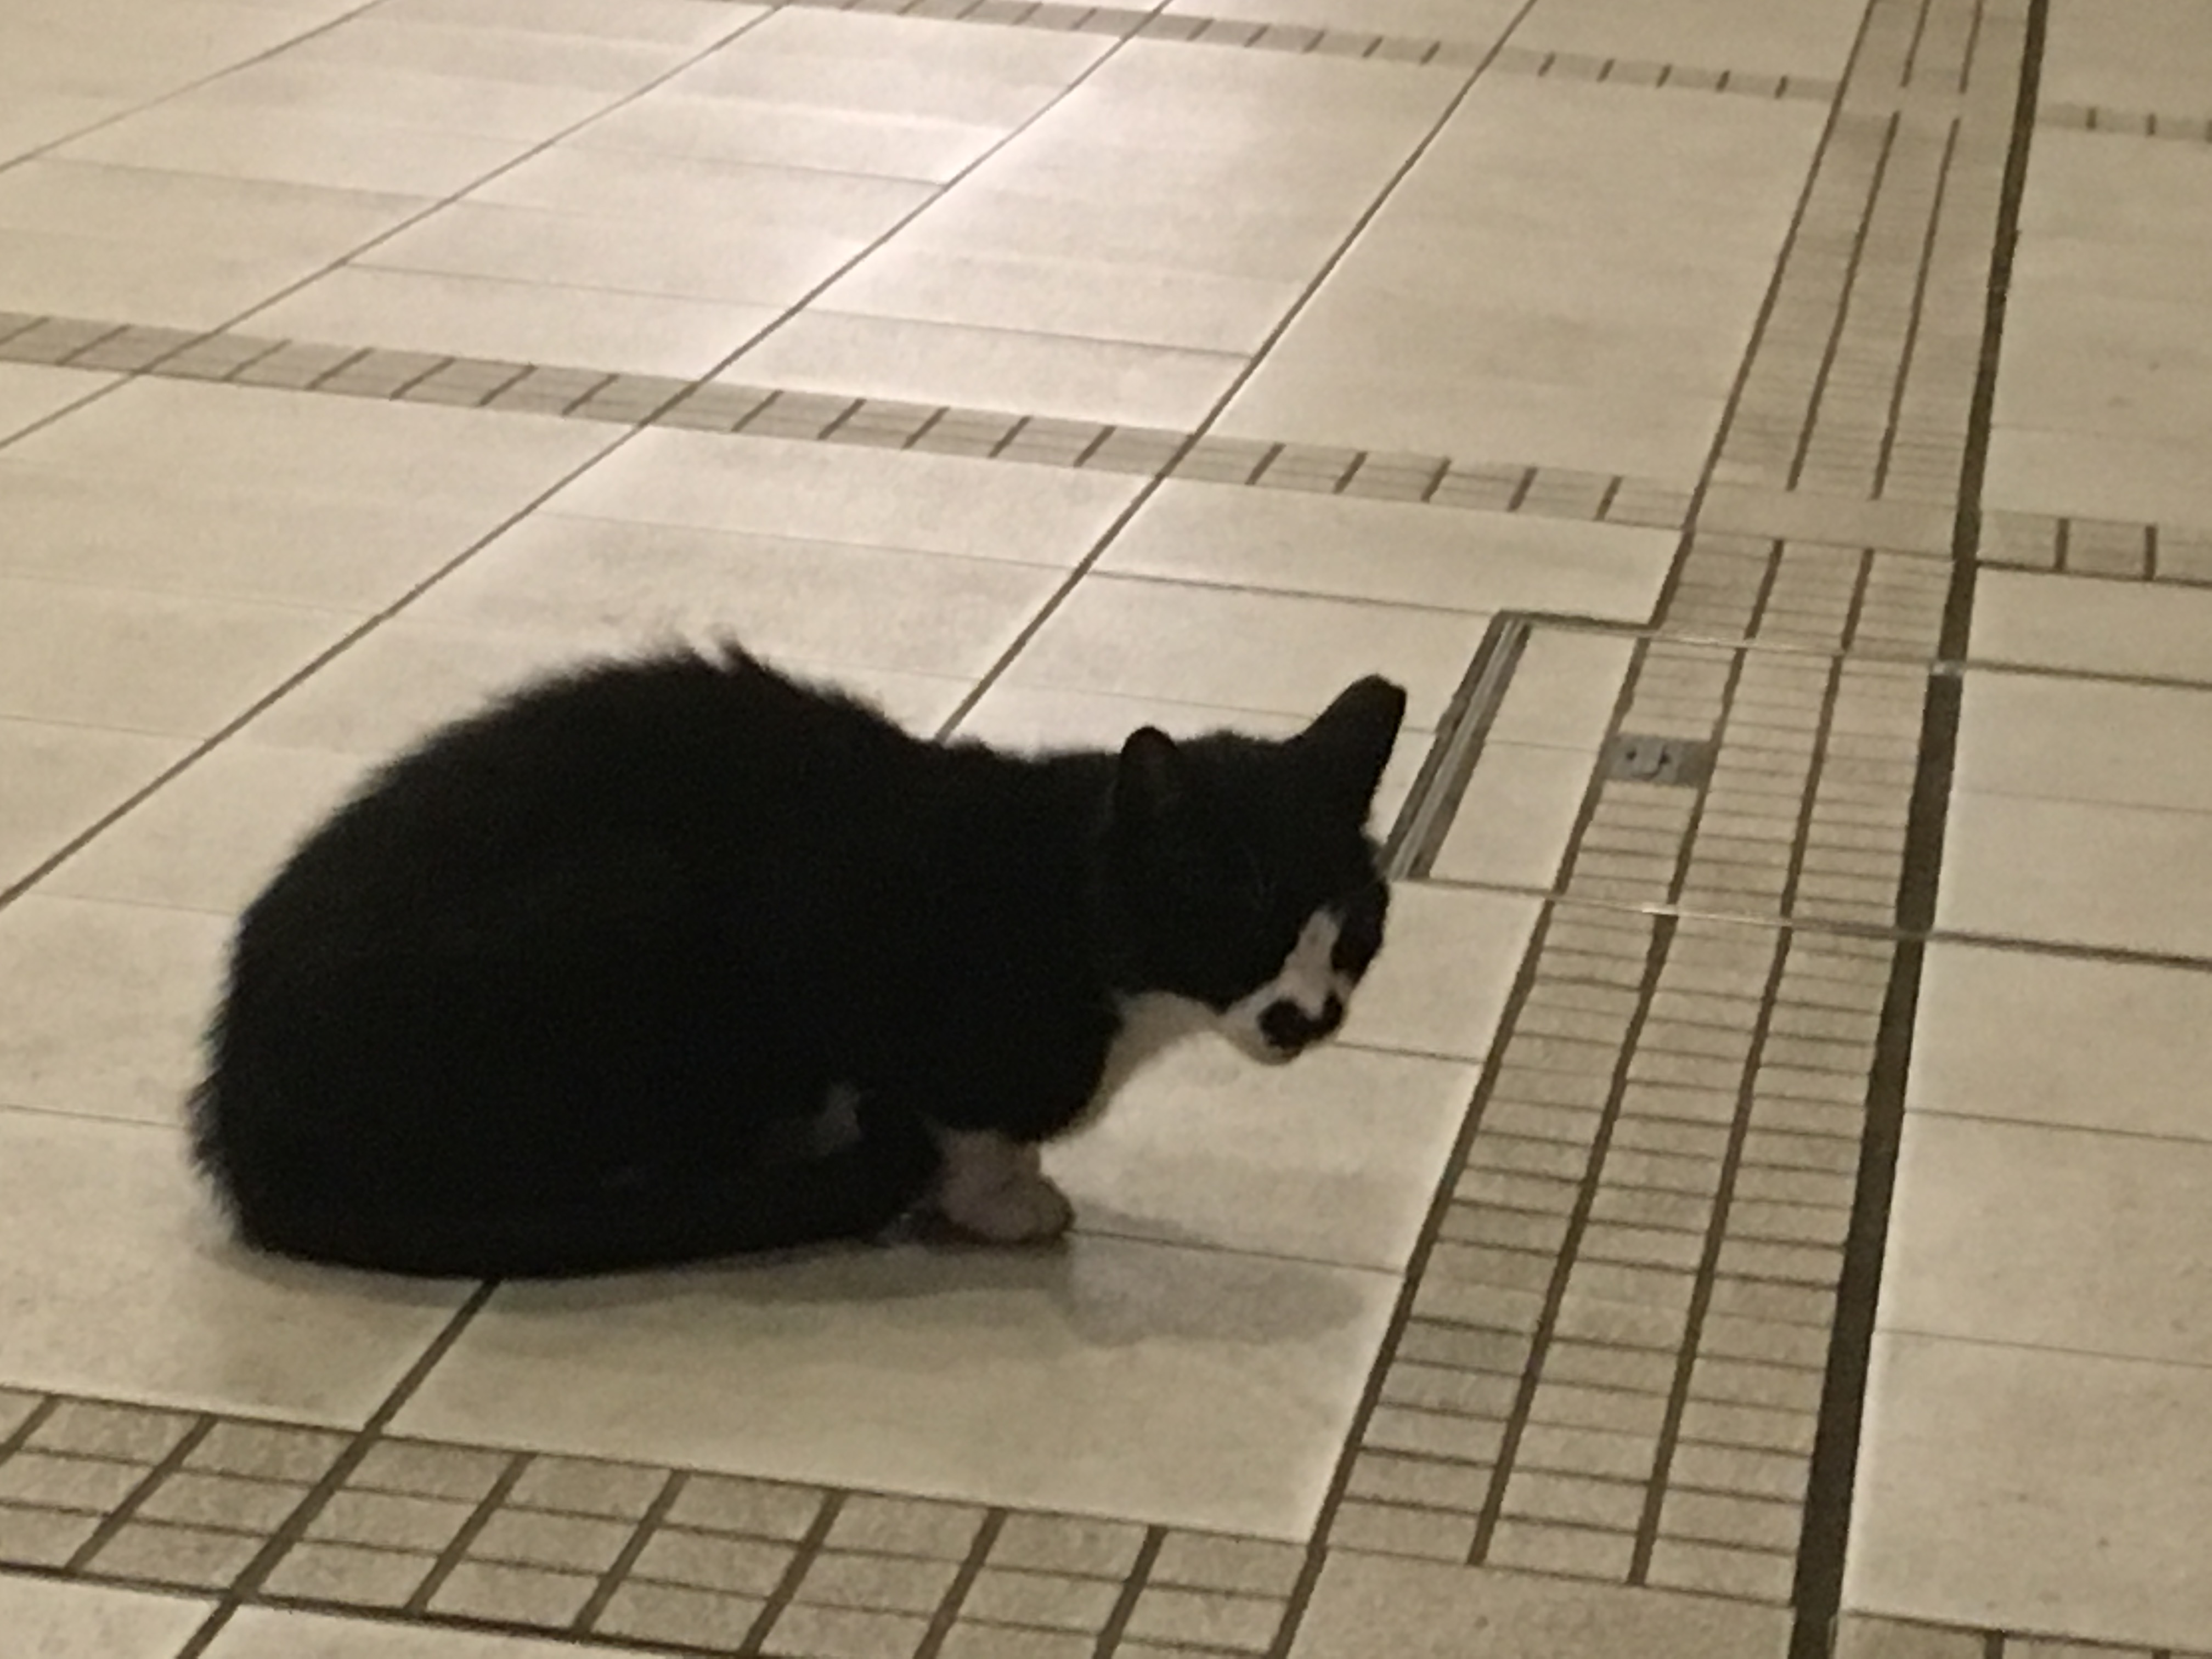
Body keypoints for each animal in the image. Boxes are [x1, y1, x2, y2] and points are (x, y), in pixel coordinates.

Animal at [189, 641, 1407, 1279]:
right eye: (1243, 922)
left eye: (1352, 930)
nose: (1307, 1016)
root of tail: (243, 1126)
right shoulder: (837, 931)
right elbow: (959, 1110)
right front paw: (1002, 1196)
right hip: (635, 901)